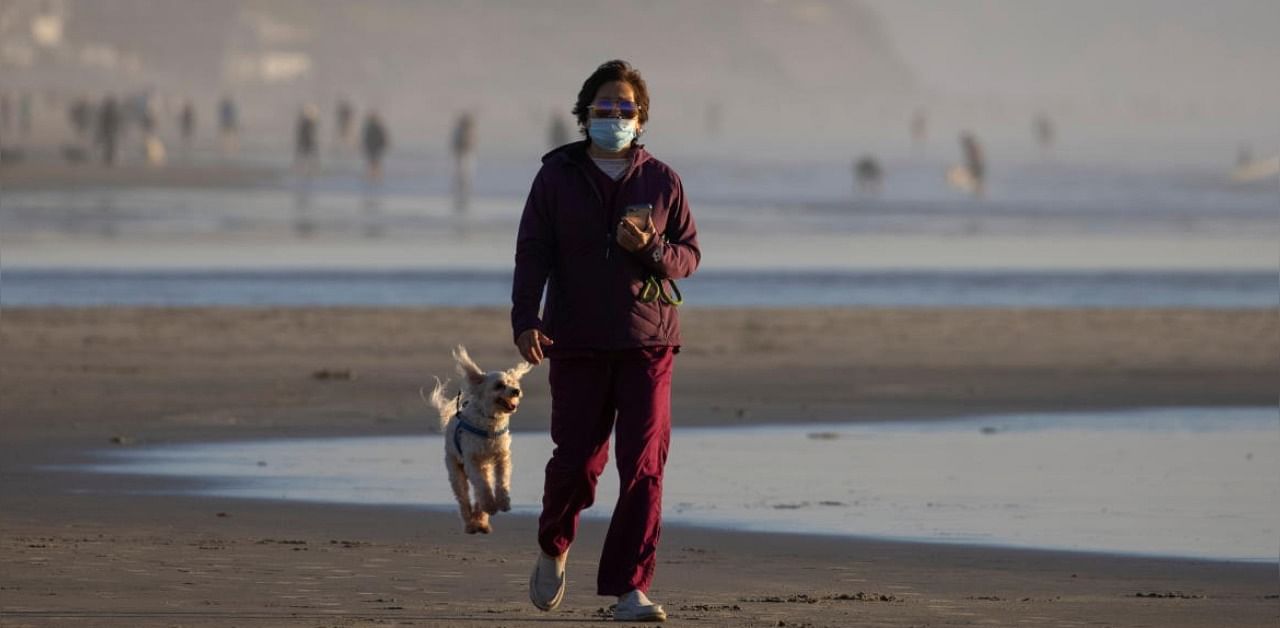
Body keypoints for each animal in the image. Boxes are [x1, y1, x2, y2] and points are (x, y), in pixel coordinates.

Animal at [427, 345, 532, 534]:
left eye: (513, 383)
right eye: (499, 385)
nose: (516, 391)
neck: (490, 422)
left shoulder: (501, 457)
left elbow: (502, 480)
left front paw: (503, 502)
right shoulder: (473, 461)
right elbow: (482, 485)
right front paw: (491, 505)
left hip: (485, 466)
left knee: (479, 492)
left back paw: (481, 522)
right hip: (456, 471)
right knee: (465, 498)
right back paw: (471, 523)